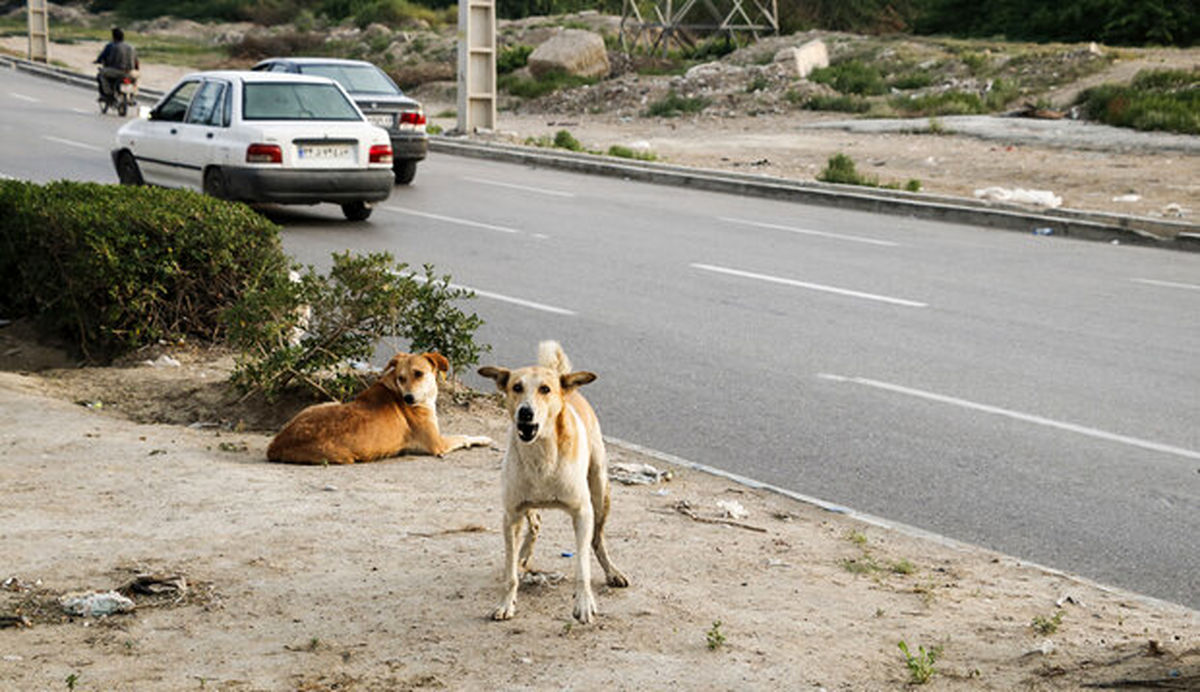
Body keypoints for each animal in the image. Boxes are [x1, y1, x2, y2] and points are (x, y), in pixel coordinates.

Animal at [267, 350, 492, 465]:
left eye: (419, 373)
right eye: (401, 377)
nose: (408, 398)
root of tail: (276, 445)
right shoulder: (438, 443)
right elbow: (464, 436)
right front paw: (483, 439)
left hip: (322, 405)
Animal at [477, 340, 628, 618]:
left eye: (545, 389)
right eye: (516, 387)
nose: (525, 412)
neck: (541, 455)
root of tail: (567, 384)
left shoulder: (582, 512)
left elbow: (582, 565)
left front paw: (584, 604)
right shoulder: (511, 514)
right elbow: (510, 572)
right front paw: (506, 602)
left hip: (600, 491)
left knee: (597, 539)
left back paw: (612, 572)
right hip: (525, 505)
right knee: (535, 524)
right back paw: (523, 556)